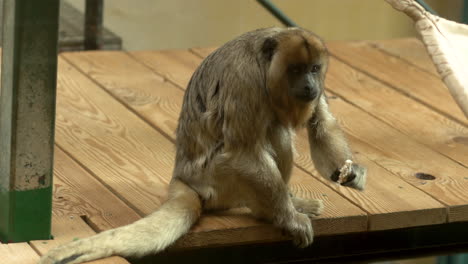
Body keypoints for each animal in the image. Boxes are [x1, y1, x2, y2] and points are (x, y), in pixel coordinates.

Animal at [38, 26, 366, 264]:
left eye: (314, 69)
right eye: (295, 70)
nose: (309, 86)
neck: (266, 64)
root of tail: (184, 177)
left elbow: (322, 123)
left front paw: (348, 172)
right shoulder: (244, 80)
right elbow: (244, 153)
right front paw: (289, 218)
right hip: (220, 181)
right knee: (274, 136)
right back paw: (271, 212)